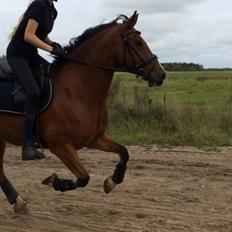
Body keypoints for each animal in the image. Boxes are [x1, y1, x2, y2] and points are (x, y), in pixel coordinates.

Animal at [0, 11, 167, 214]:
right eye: (138, 43)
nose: (161, 74)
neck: (77, 88)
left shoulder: (95, 138)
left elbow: (124, 152)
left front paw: (112, 181)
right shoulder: (60, 145)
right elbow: (84, 177)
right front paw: (55, 182)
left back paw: (18, 202)